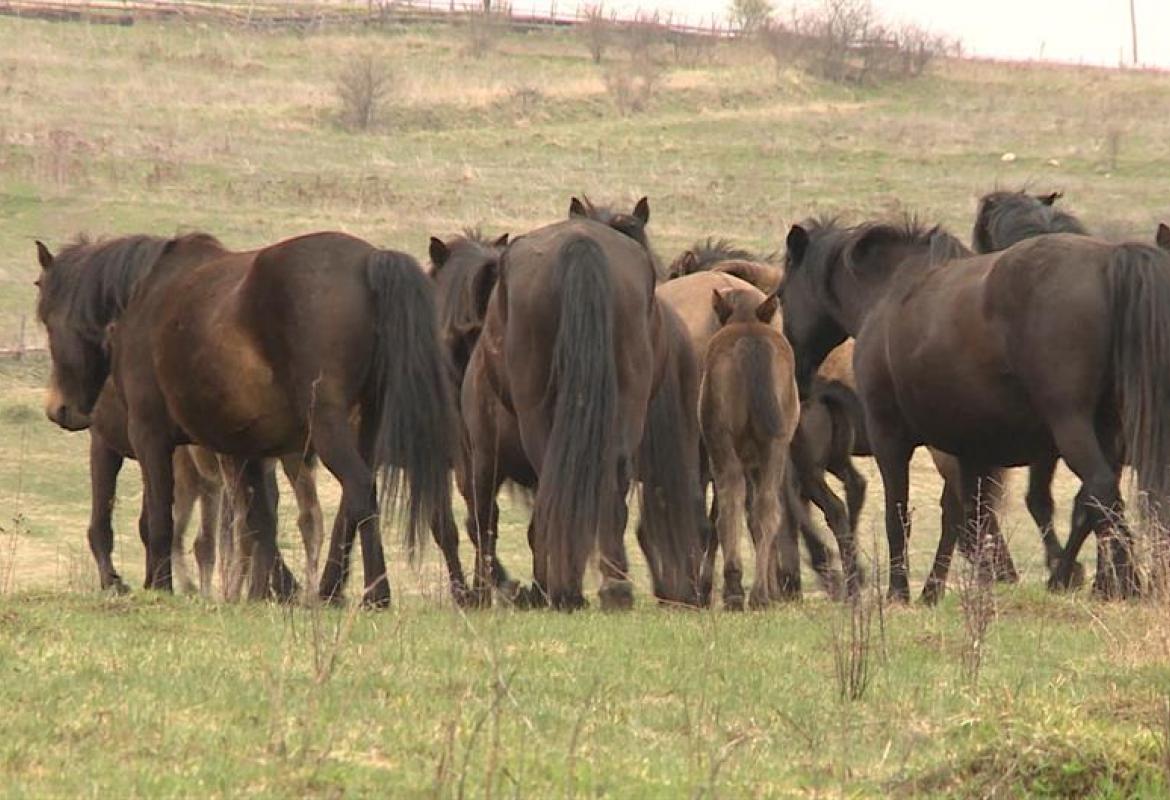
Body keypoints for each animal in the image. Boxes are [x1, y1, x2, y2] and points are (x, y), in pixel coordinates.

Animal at [470, 215, 697, 608]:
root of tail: (581, 245)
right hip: (628, 403)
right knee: (613, 478)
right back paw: (614, 587)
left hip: (534, 416)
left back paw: (557, 587)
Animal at [697, 287, 800, 608]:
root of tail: (751, 344)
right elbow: (757, 519)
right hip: (774, 447)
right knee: (768, 509)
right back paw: (759, 595)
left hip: (723, 445)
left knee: (728, 504)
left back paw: (734, 589)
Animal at [776, 215, 1170, 603]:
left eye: (780, 295)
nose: (798, 377)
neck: (889, 291)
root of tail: (1110, 259)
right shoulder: (968, 448)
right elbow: (965, 516)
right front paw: (946, 590)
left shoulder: (889, 437)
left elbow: (899, 513)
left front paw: (899, 592)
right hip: (1106, 431)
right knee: (1095, 502)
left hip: (1071, 425)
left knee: (1100, 489)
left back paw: (1122, 582)